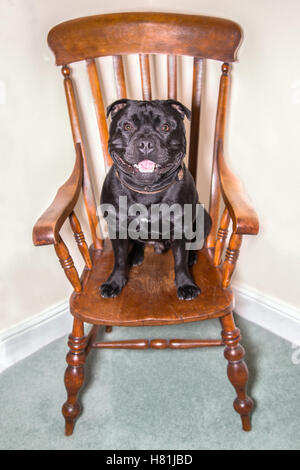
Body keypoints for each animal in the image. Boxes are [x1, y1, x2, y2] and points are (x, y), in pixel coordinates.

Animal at [99, 99, 211, 302]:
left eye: (165, 127)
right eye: (127, 126)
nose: (145, 143)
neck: (147, 190)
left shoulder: (181, 227)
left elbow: (180, 261)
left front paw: (186, 284)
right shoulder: (117, 227)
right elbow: (119, 259)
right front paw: (114, 282)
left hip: (203, 218)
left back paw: (192, 257)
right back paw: (135, 256)